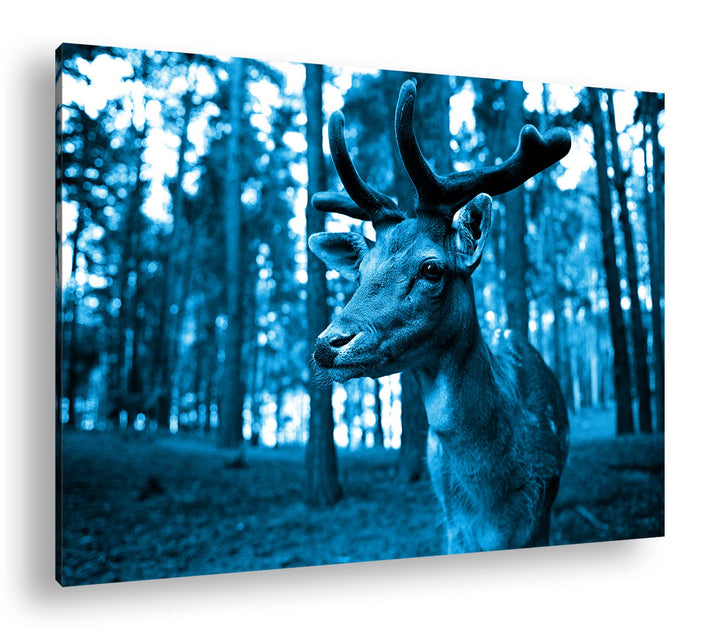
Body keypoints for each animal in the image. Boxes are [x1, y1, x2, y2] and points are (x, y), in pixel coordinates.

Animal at [308, 79, 571, 553]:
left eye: (431, 268)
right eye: (360, 272)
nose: (328, 343)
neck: (492, 513)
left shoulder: (541, 516)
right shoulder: (452, 528)